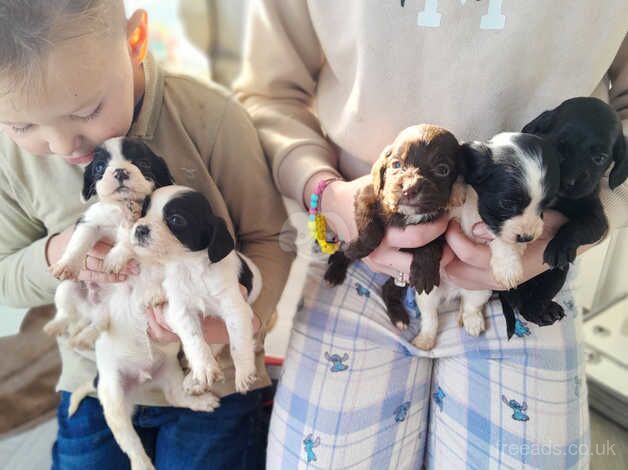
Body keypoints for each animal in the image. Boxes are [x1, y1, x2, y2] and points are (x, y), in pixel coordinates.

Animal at [43, 137, 173, 348]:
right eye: (100, 167)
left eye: (143, 163)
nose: (120, 171)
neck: (121, 208)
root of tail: (91, 310)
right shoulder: (89, 222)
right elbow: (78, 244)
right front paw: (67, 264)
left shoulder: (143, 229)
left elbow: (128, 240)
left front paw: (114, 258)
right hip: (67, 289)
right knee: (67, 314)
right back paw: (57, 327)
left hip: (117, 307)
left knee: (99, 324)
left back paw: (84, 337)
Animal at [131, 186, 262, 396]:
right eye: (143, 212)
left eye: (176, 219)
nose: (140, 228)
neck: (189, 267)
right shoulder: (179, 309)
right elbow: (194, 337)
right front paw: (204, 367)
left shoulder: (235, 308)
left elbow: (238, 342)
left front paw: (244, 372)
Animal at [324, 125, 466, 330]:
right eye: (396, 165)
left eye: (442, 170)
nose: (409, 189)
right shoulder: (367, 194)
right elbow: (371, 231)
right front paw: (358, 249)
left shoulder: (441, 224)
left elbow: (431, 244)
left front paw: (425, 270)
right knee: (343, 254)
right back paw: (335, 270)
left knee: (388, 289)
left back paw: (398, 316)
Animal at [412, 132, 560, 348]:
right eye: (507, 203)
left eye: (546, 205)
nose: (528, 238)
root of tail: (453, 293)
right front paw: (455, 191)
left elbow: (503, 239)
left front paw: (508, 267)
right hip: (427, 294)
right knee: (430, 317)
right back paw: (424, 340)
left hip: (480, 290)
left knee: (470, 306)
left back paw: (471, 321)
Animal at [498, 97, 624, 336]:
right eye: (558, 148)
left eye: (599, 158)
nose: (568, 182)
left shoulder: (596, 218)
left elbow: (578, 227)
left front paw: (560, 247)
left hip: (556, 276)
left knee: (531, 303)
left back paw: (544, 311)